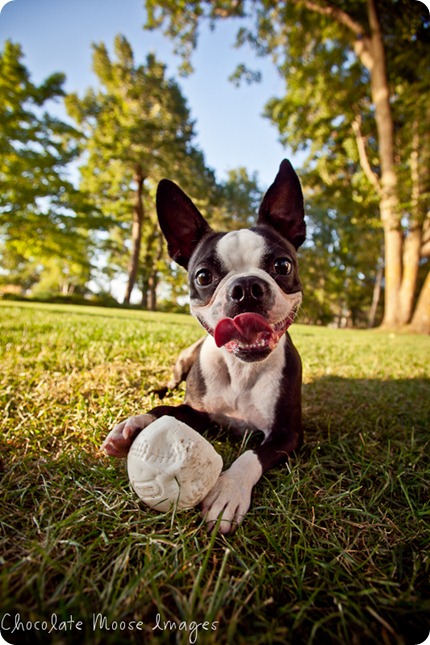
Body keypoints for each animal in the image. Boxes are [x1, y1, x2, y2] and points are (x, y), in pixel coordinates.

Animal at [101, 158, 306, 532]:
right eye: (203, 276)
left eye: (282, 265)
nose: (247, 287)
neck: (241, 369)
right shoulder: (199, 413)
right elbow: (167, 410)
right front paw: (135, 423)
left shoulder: (287, 434)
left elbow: (252, 455)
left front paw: (228, 491)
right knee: (169, 385)